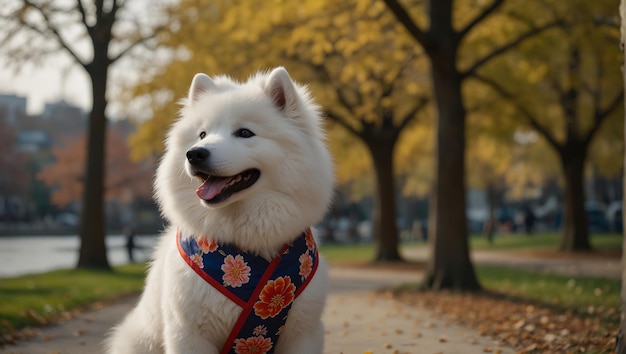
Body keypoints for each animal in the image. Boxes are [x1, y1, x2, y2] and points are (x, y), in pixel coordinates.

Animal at [107, 67, 334, 354]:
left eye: (245, 133)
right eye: (202, 134)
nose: (194, 154)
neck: (243, 241)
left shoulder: (303, 334)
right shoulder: (190, 334)